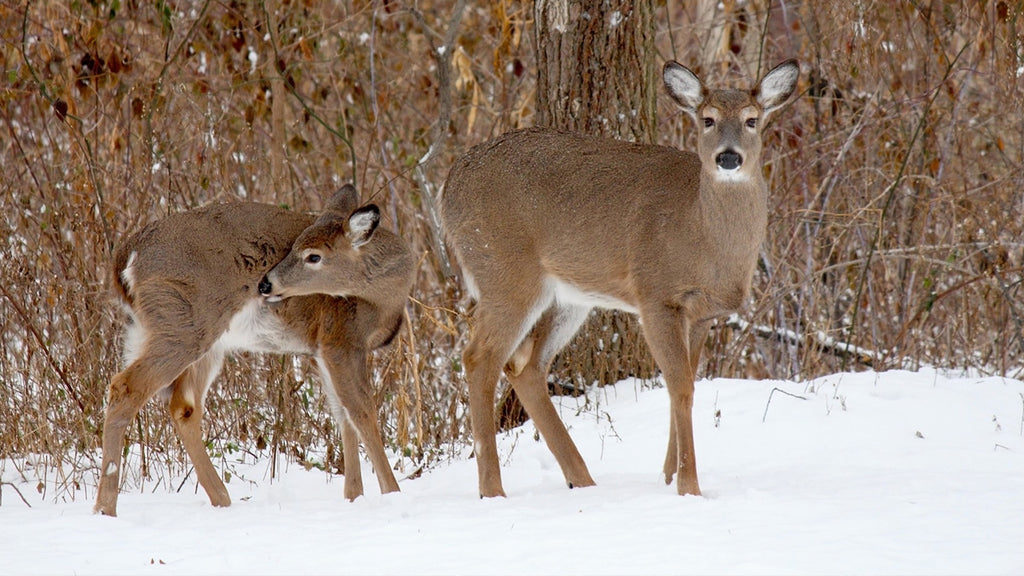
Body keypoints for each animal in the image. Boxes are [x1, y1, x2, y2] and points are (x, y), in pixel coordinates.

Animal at [95, 184, 415, 516]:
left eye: (314, 255)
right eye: (296, 249)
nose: (265, 284)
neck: (385, 299)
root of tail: (125, 258)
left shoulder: (321, 348)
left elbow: (342, 415)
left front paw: (354, 496)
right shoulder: (341, 338)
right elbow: (362, 411)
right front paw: (392, 492)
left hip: (187, 336)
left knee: (183, 405)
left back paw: (221, 499)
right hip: (182, 322)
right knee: (125, 386)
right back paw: (106, 508)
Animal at [440, 59, 798, 498]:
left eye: (752, 120)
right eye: (708, 119)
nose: (728, 158)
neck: (703, 234)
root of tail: (447, 187)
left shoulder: (702, 313)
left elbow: (687, 383)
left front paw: (668, 477)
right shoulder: (656, 294)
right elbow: (680, 386)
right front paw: (689, 486)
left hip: (568, 296)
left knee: (527, 367)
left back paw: (582, 480)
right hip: (505, 272)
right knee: (480, 358)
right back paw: (494, 490)